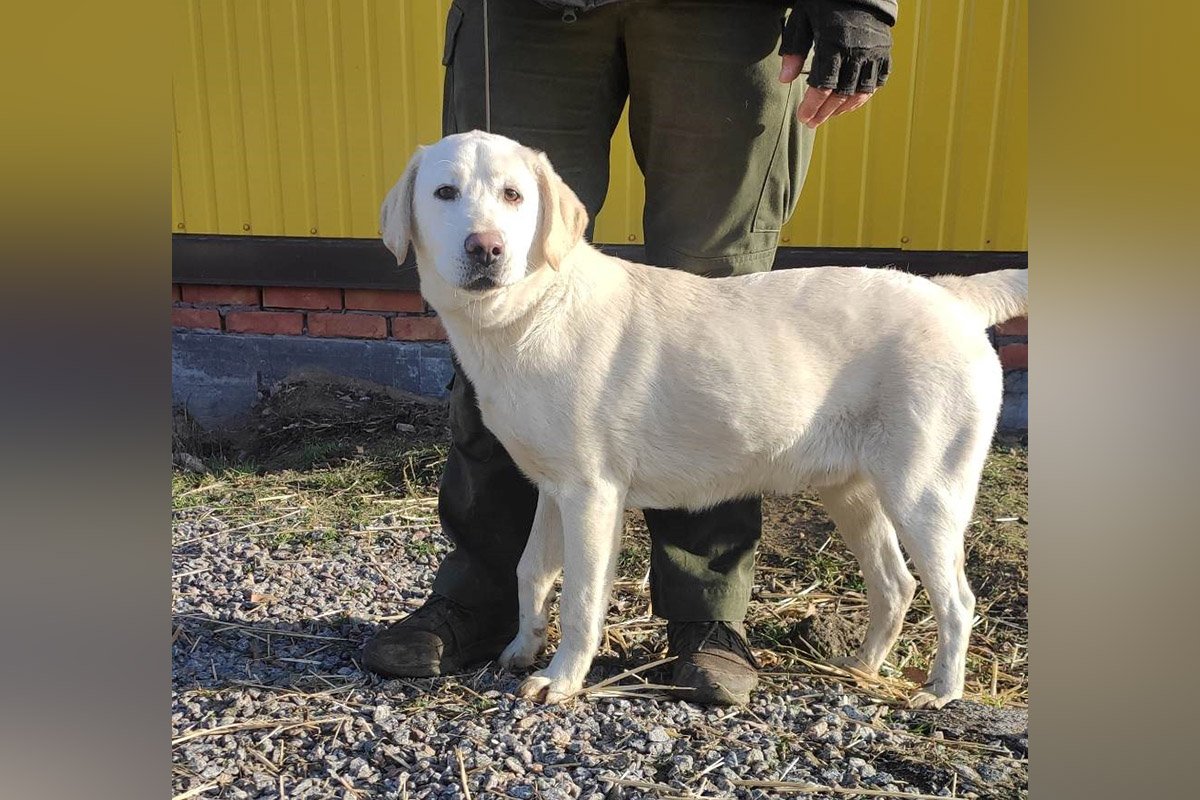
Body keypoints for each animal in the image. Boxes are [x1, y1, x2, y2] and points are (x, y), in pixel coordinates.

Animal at [384, 133, 1032, 714]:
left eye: (514, 195)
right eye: (445, 192)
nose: (486, 248)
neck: (530, 313)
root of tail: (952, 296)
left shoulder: (593, 495)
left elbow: (581, 599)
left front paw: (562, 679)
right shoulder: (550, 488)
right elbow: (530, 571)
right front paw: (522, 648)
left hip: (925, 493)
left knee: (958, 599)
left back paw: (941, 690)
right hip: (853, 493)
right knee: (895, 585)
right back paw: (862, 667)